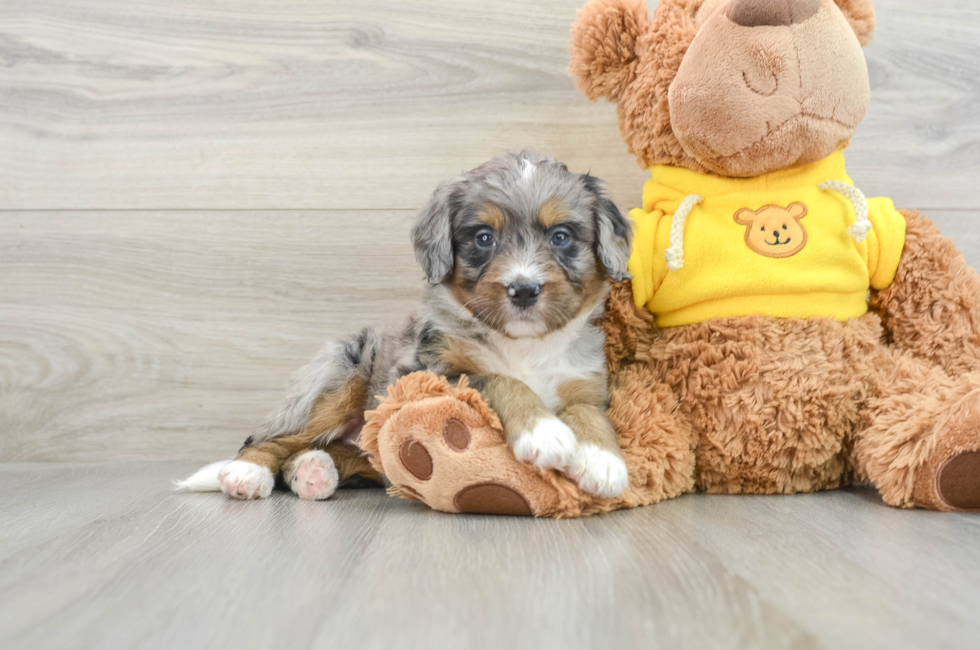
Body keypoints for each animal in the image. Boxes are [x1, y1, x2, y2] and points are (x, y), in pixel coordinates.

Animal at [179, 152, 632, 502]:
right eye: (484, 238)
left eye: (561, 237)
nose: (523, 289)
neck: (526, 346)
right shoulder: (429, 375)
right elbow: (498, 380)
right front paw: (544, 433)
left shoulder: (584, 383)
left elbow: (590, 415)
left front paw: (603, 460)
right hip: (340, 377)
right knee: (268, 439)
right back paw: (247, 473)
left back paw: (313, 471)